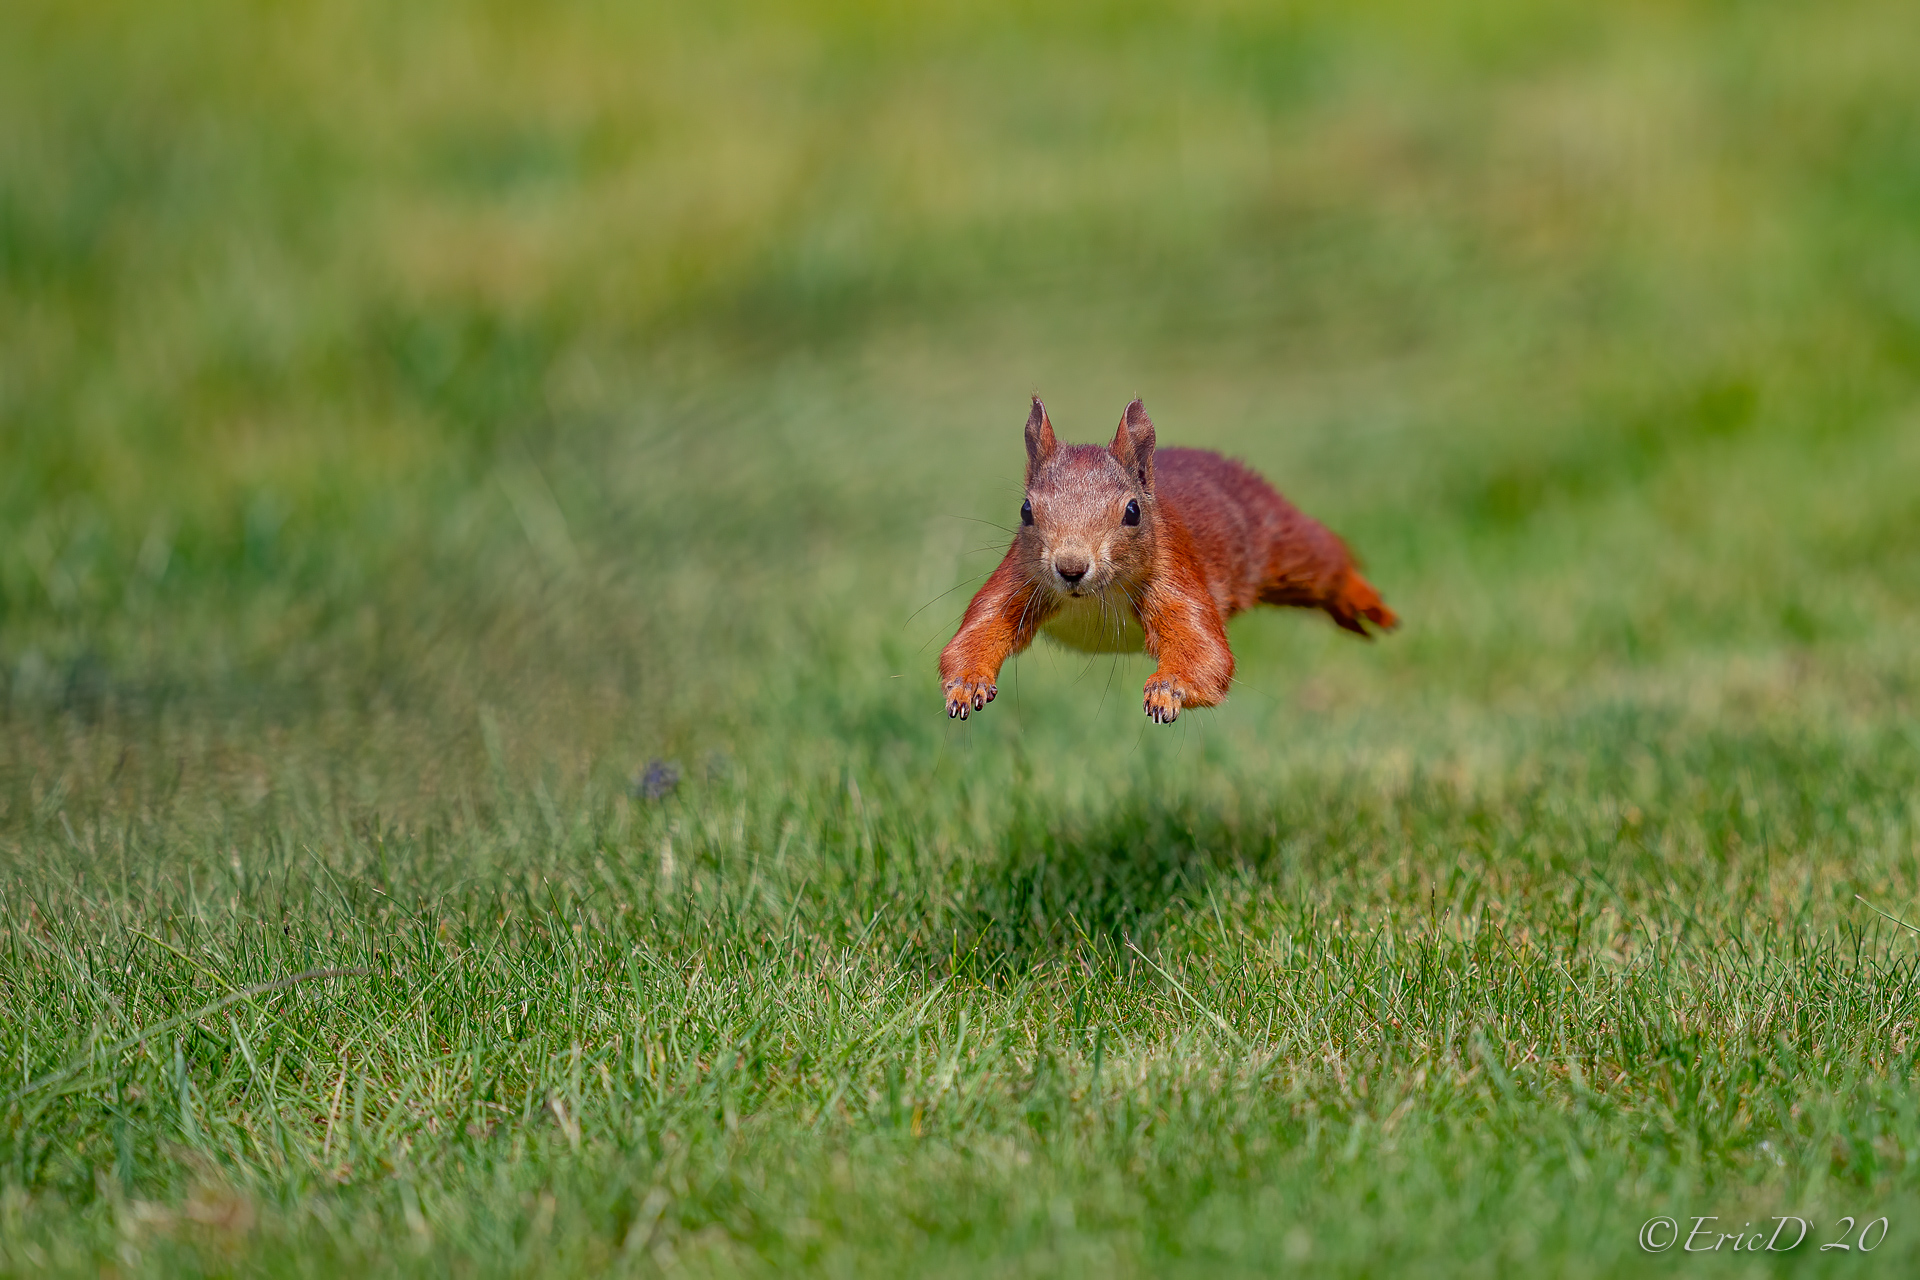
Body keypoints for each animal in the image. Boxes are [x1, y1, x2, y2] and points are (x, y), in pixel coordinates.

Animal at [933, 395, 1397, 725]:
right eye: (1026, 510)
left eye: (1133, 511)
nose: (1071, 568)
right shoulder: (1020, 579)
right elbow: (978, 630)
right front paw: (966, 683)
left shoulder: (1173, 576)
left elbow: (1206, 654)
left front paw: (1167, 690)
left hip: (1279, 540)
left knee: (1325, 563)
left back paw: (1365, 602)